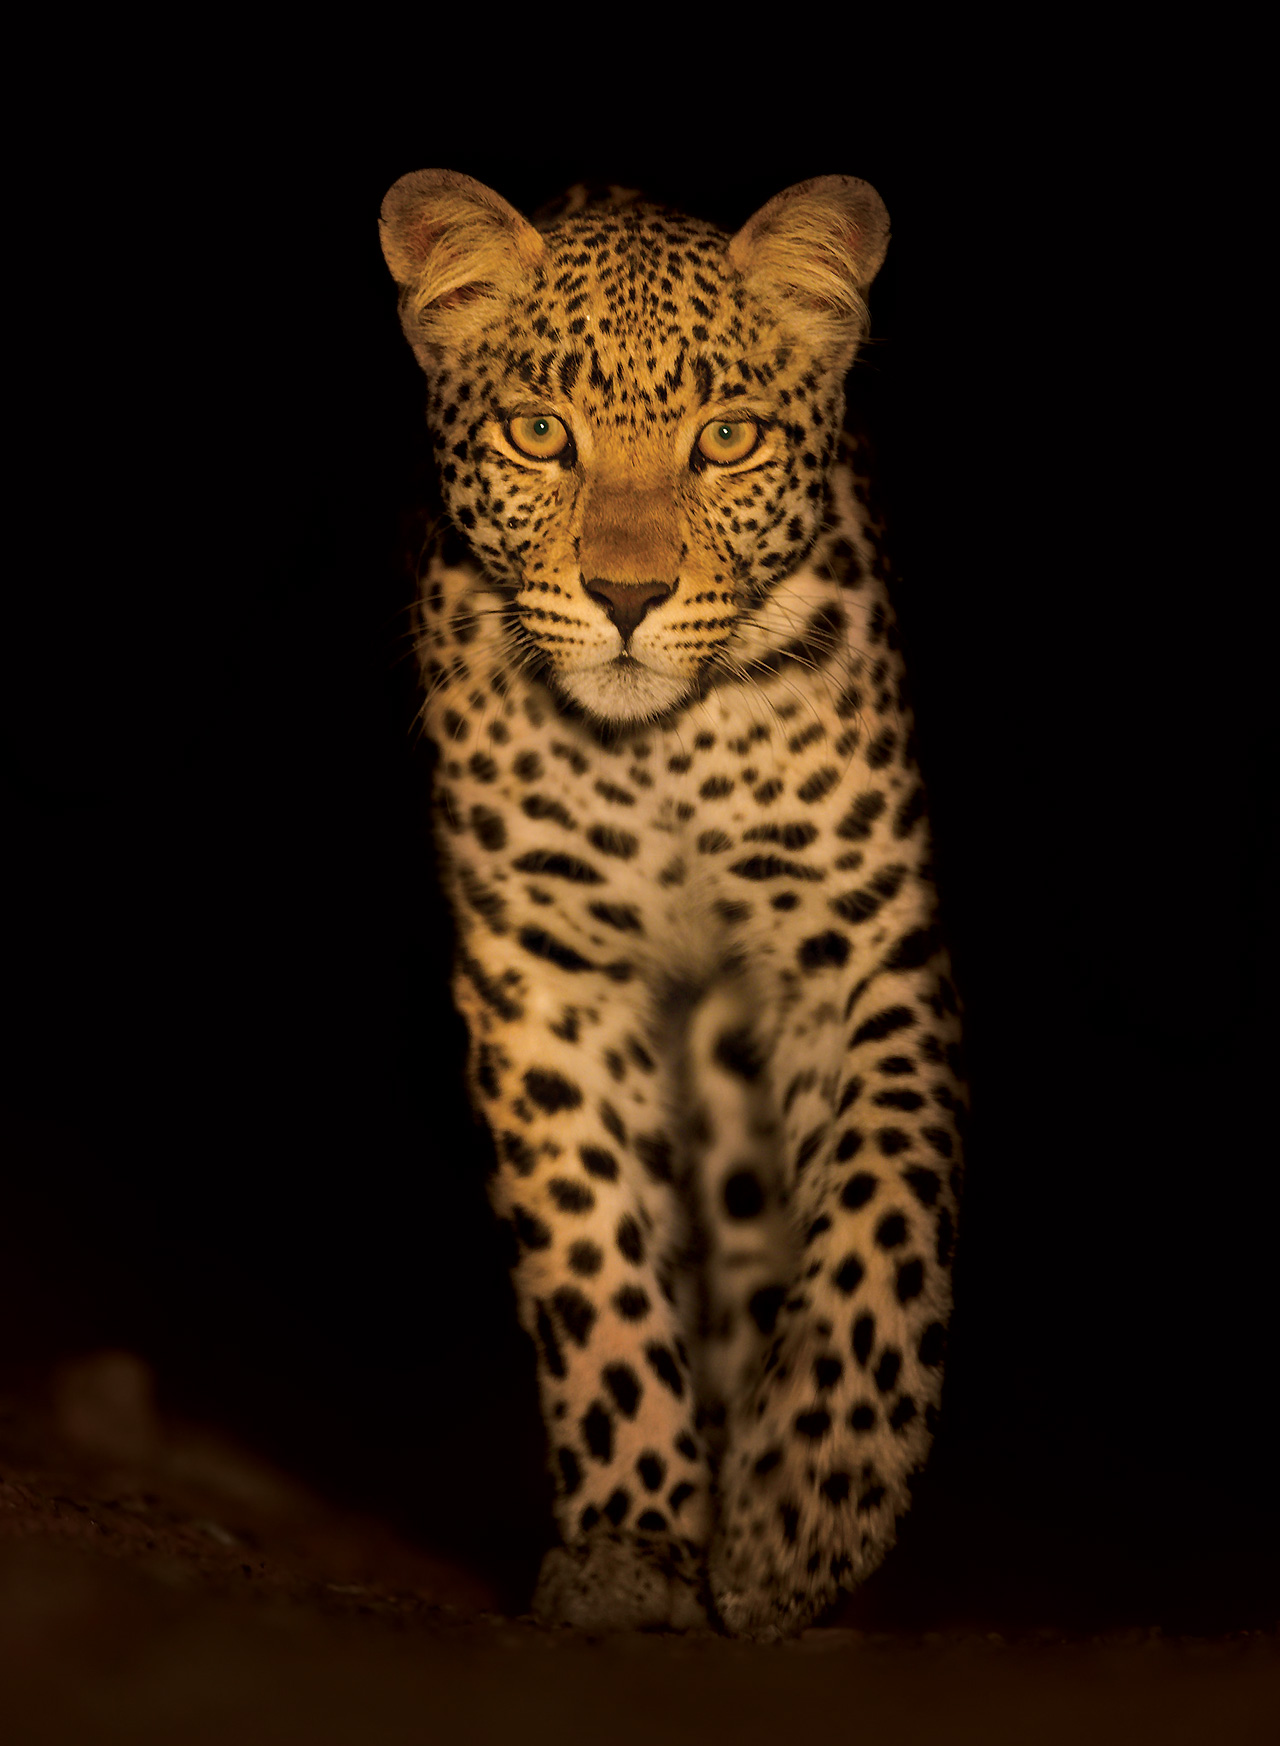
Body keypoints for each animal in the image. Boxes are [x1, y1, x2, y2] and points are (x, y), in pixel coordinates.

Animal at [377, 170, 956, 1641]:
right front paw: (632, 1539)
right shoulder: (545, 972)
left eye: (727, 436)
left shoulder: (851, 946)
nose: (628, 597)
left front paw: (805, 1500)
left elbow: (879, 1219)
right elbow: (593, 1261)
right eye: (538, 433)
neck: (660, 752)